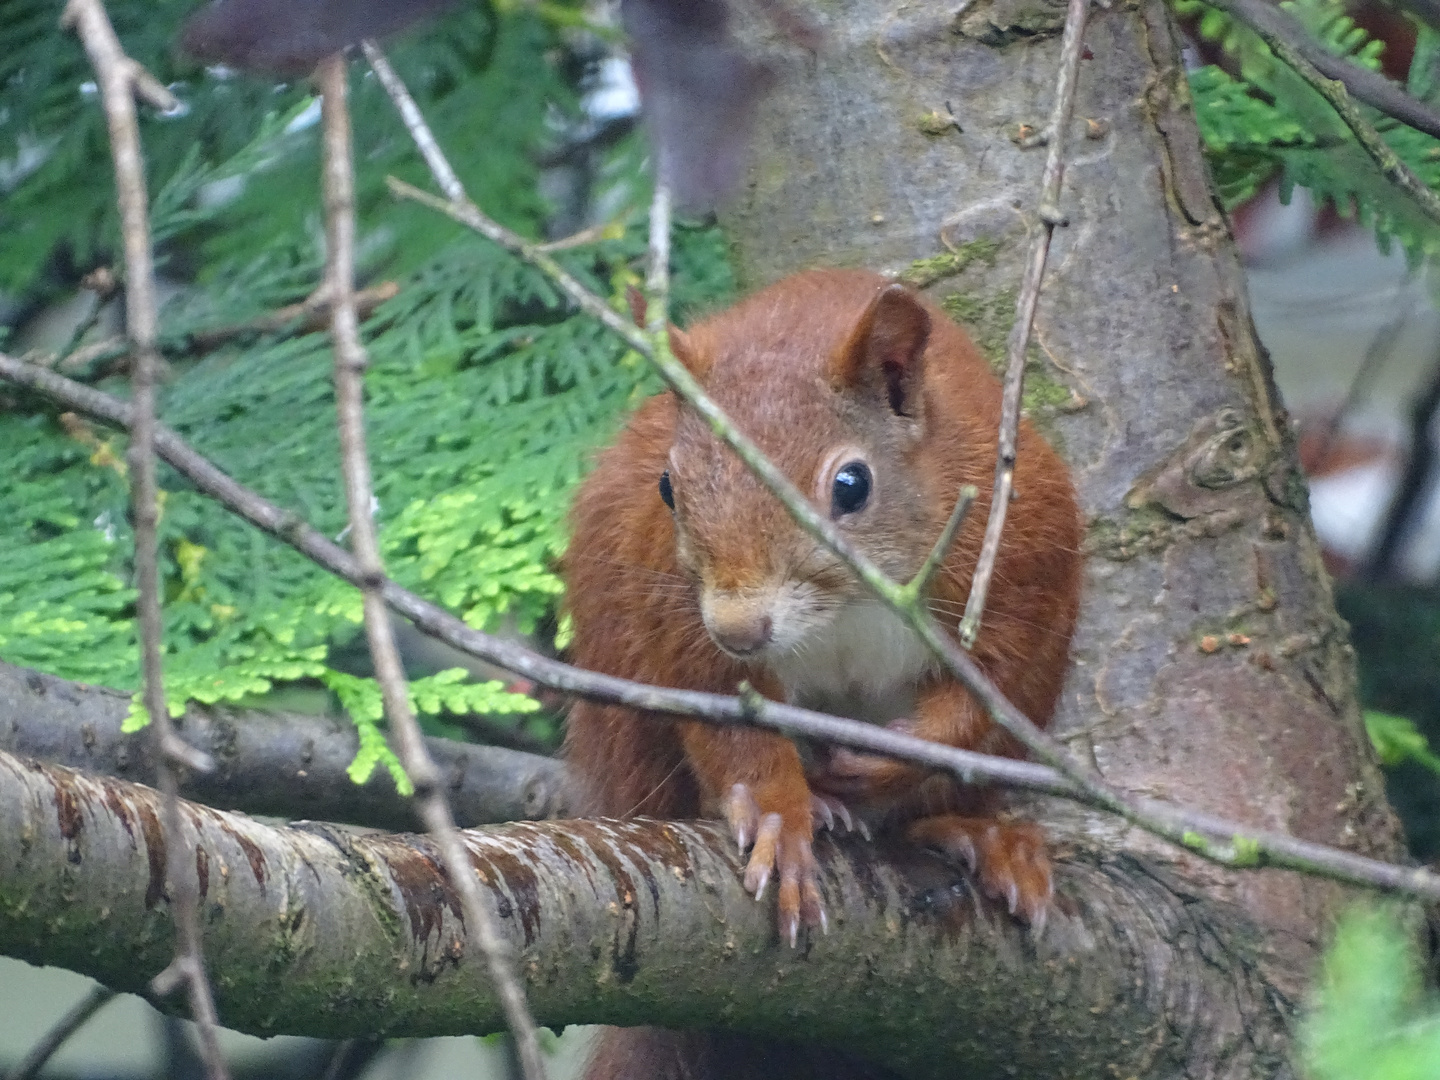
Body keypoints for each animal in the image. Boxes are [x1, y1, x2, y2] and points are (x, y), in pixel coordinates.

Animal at [561, 269, 1082, 944]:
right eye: (667, 488)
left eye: (852, 485)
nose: (739, 629)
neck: (842, 609)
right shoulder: (679, 615)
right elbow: (725, 714)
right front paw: (779, 814)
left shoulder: (1021, 556)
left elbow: (992, 689)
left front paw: (890, 758)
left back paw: (982, 833)